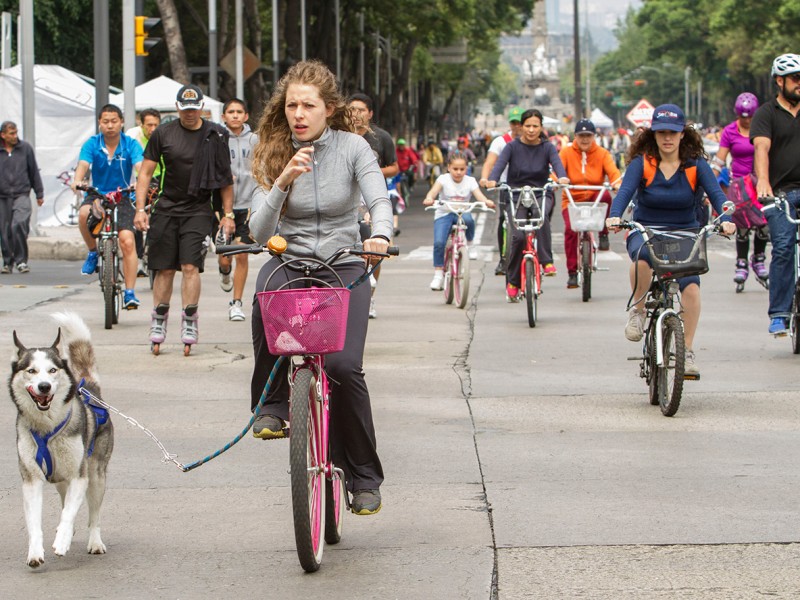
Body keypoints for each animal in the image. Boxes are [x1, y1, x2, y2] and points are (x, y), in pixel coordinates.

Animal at [9, 312, 114, 568]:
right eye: (31, 371)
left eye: (53, 370)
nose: (44, 386)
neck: (47, 428)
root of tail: (89, 388)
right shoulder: (31, 480)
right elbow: (35, 522)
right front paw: (35, 552)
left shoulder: (79, 475)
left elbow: (69, 512)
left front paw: (62, 541)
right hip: (60, 479)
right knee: (66, 498)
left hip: (96, 475)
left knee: (93, 515)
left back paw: (94, 541)